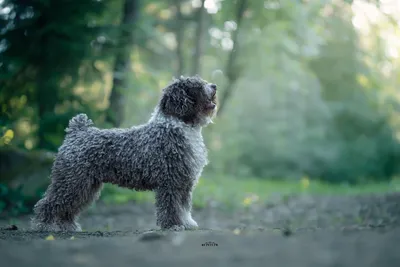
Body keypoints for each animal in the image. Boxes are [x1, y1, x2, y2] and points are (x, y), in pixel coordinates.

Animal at [30, 76, 219, 232]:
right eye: (196, 85)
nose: (214, 86)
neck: (180, 126)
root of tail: (77, 132)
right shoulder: (170, 182)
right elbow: (172, 206)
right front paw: (173, 225)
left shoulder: (184, 182)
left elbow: (184, 207)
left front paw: (187, 223)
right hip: (72, 181)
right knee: (49, 202)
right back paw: (44, 225)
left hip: (86, 185)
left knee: (69, 207)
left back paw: (67, 226)